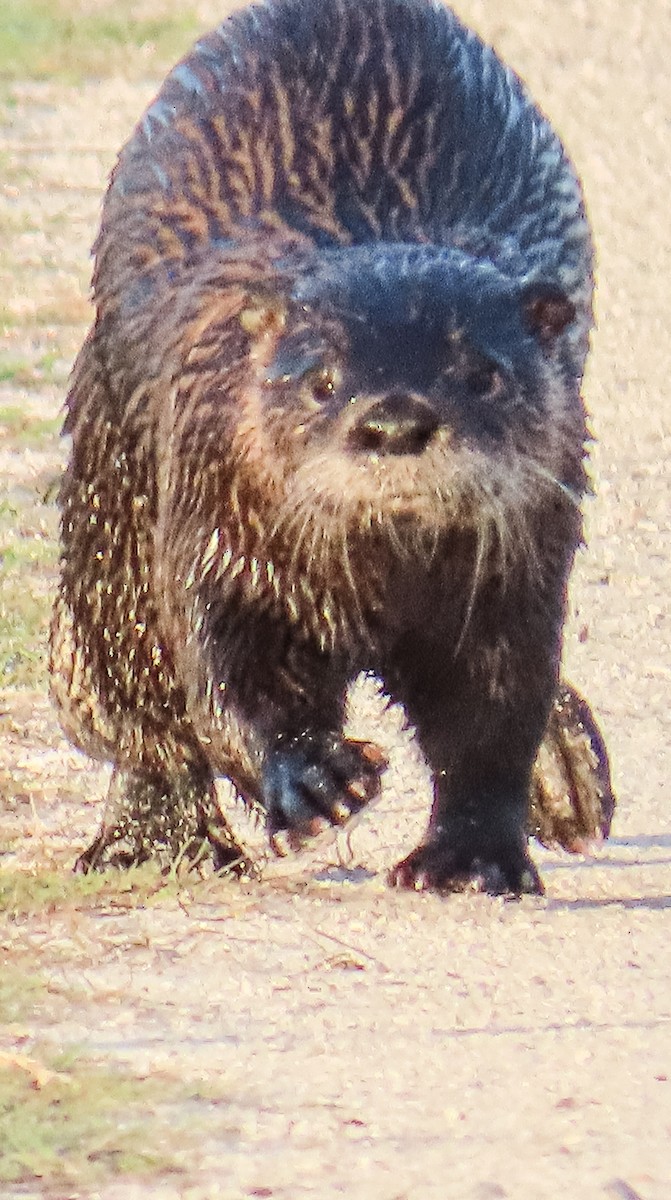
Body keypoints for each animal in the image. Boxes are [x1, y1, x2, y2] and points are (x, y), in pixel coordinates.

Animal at [50, 0, 614, 893]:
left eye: (481, 372)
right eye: (322, 379)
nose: (395, 421)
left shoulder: (516, 567)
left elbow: (493, 712)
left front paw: (471, 856)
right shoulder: (212, 519)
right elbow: (224, 676)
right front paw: (313, 778)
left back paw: (565, 777)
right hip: (112, 503)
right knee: (138, 687)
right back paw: (156, 843)